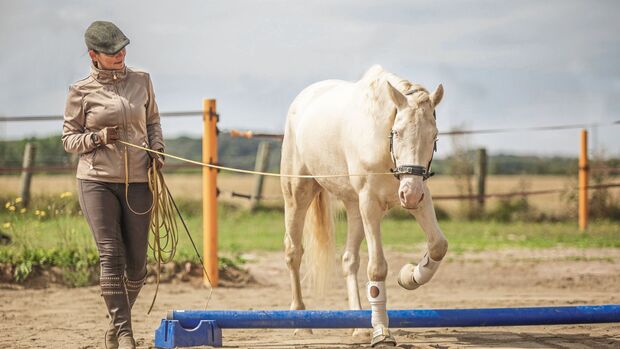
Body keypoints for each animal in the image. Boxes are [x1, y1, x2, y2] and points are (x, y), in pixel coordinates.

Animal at [280, 64, 446, 346]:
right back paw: (301, 323)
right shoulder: (370, 204)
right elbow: (377, 269)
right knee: (294, 252)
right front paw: (381, 332)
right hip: (298, 195)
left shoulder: (418, 195)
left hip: (354, 206)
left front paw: (410, 276)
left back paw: (358, 325)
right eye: (397, 132)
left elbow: (438, 246)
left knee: (349, 260)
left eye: (434, 136)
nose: (410, 195)